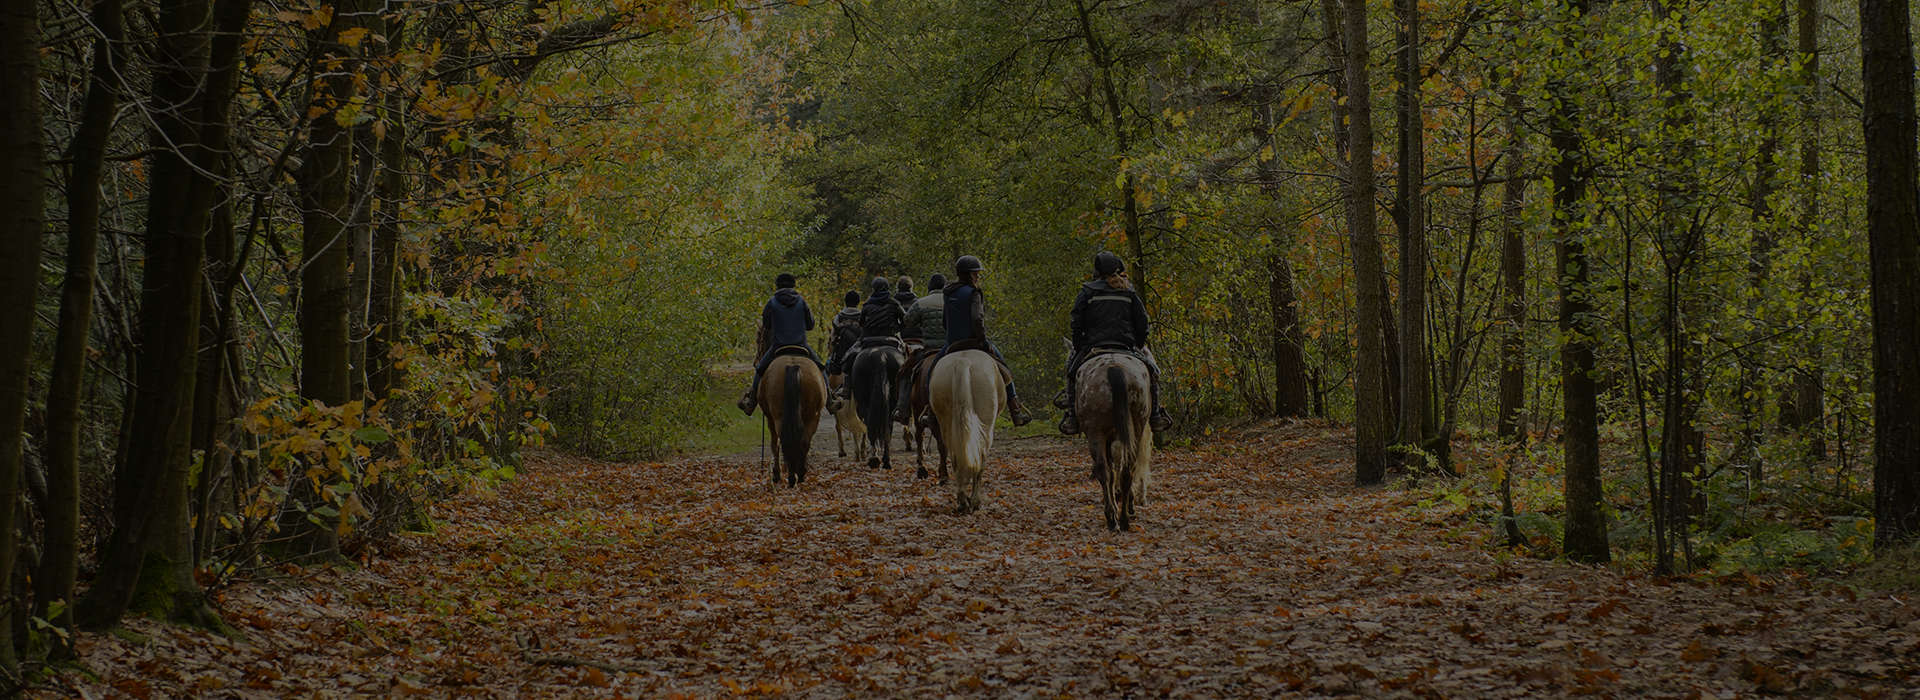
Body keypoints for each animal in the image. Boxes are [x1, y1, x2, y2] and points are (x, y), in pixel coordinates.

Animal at [760, 350, 829, 489]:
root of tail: (793, 366)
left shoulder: (770, 419)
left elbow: (774, 445)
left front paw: (776, 475)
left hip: (779, 417)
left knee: (785, 441)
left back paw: (792, 478)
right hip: (813, 416)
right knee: (804, 442)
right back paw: (800, 475)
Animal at [933, 345, 1021, 513]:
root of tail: (963, 362)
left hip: (947, 425)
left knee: (956, 458)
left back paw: (962, 500)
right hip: (985, 428)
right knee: (980, 460)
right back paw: (974, 501)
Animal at [1067, 349, 1152, 529]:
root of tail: (1114, 366)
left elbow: (1111, 472)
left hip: (1096, 432)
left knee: (1104, 470)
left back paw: (1112, 518)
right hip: (1136, 428)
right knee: (1128, 469)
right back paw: (1124, 518)